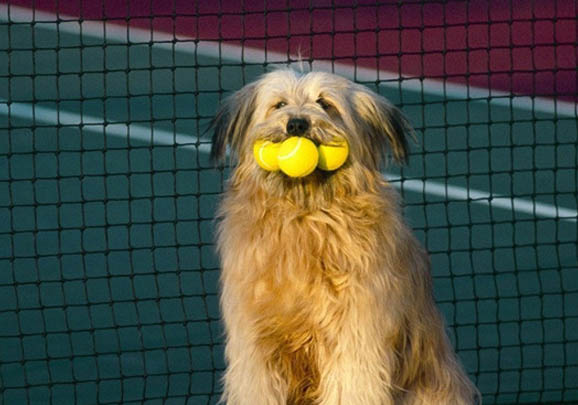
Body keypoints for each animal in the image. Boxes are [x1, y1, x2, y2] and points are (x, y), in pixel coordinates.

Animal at [209, 70, 480, 404]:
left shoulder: (357, 334)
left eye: (325, 103)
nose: (296, 124)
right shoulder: (254, 341)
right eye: (279, 104)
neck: (306, 215)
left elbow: (352, 384)